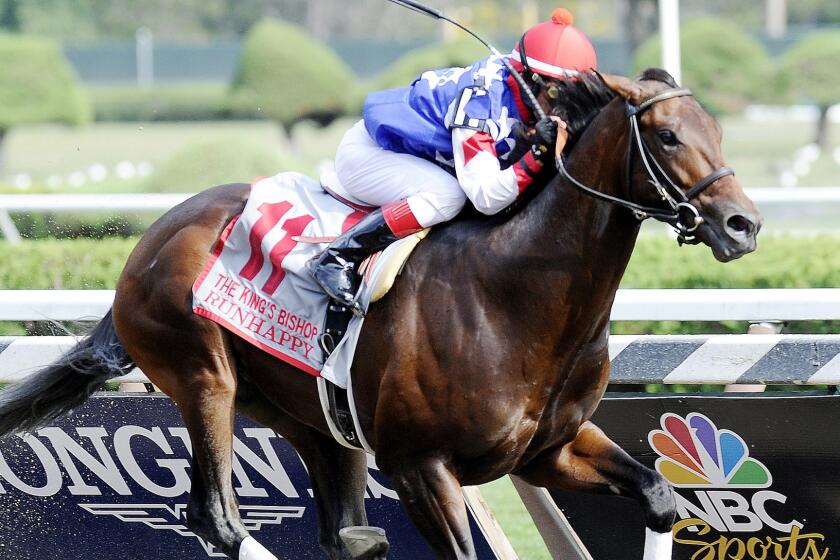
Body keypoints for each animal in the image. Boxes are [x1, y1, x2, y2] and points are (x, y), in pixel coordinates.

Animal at [0, 71, 760, 560]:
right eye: (667, 135)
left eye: (719, 130)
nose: (743, 224)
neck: (517, 295)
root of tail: (152, 238)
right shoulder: (420, 465)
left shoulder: (549, 451)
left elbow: (659, 494)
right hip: (202, 374)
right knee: (217, 519)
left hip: (311, 419)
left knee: (340, 530)